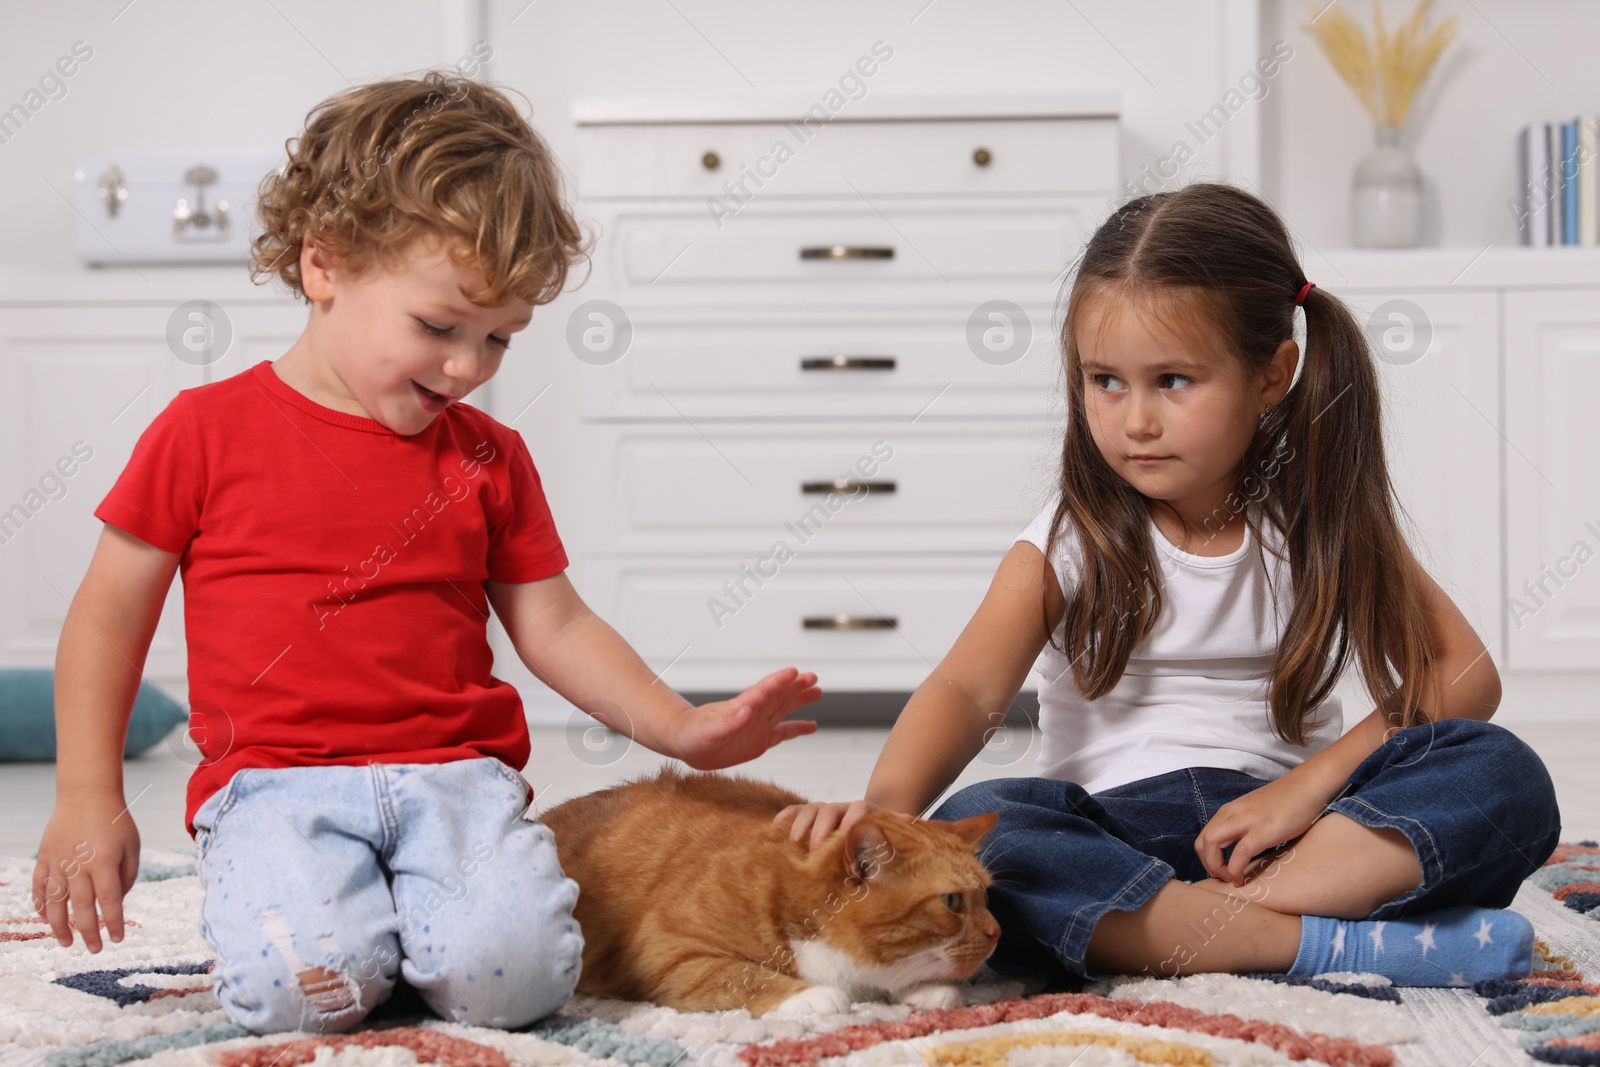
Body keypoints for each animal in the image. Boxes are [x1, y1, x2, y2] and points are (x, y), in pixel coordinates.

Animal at [540, 767, 998, 1017]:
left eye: (985, 897)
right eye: (951, 902)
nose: (997, 934)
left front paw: (925, 989)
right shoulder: (669, 950)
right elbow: (743, 977)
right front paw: (813, 996)